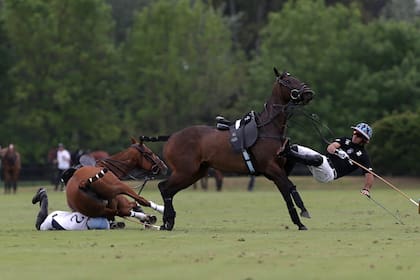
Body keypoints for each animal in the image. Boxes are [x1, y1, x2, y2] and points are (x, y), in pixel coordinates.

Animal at [149, 69, 314, 231]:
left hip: (195, 173)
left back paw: (168, 221)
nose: (309, 93)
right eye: (288, 81)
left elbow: (286, 193)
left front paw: (299, 222)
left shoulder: (277, 172)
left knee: (168, 190)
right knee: (164, 187)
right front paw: (303, 212)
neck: (268, 128)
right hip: (185, 171)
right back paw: (167, 221)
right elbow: (291, 187)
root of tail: (171, 137)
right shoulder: (272, 168)